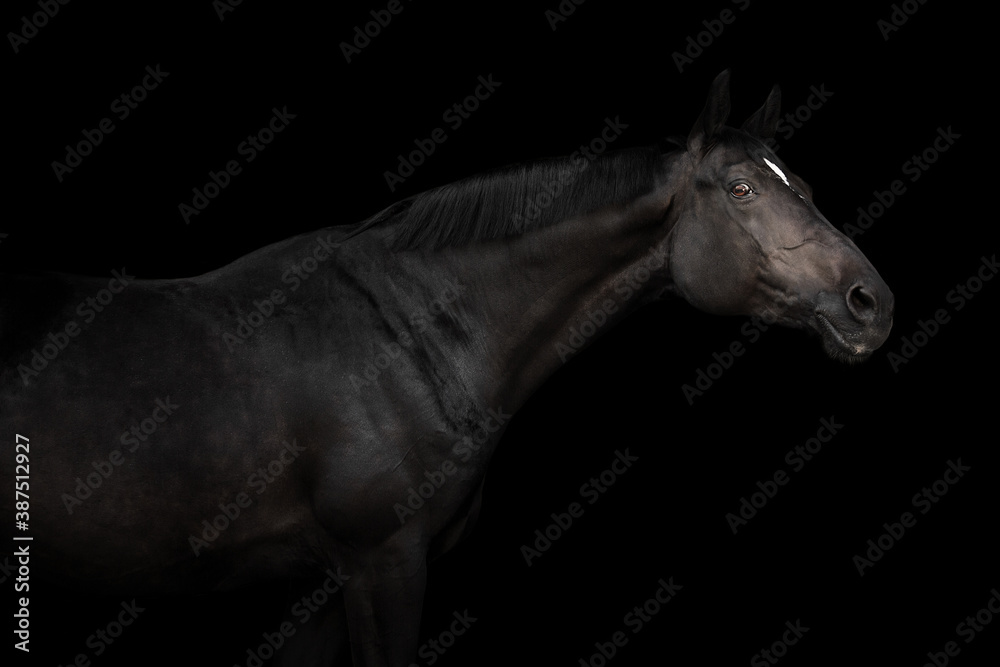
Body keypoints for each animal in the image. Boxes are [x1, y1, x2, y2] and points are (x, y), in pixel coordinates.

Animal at [0, 70, 892, 666]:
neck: (408, 338)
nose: (870, 302)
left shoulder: (331, 587)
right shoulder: (384, 565)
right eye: (741, 189)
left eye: (804, 183)